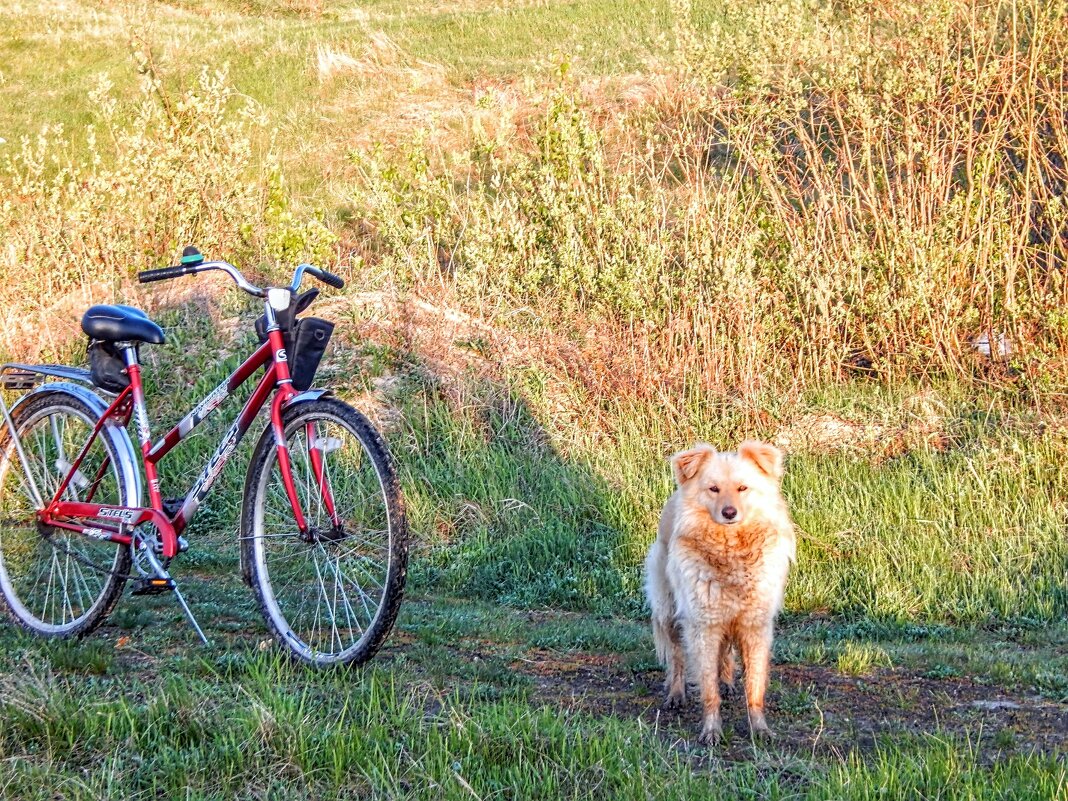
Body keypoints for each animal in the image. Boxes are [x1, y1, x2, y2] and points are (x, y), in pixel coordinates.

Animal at [640, 442, 794, 743]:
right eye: (713, 489)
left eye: (743, 488)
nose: (729, 513)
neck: (731, 551)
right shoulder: (704, 625)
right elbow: (707, 687)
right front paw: (712, 731)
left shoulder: (754, 625)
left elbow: (754, 686)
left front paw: (760, 728)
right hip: (669, 611)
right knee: (677, 657)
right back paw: (676, 695)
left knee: (724, 653)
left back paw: (727, 682)